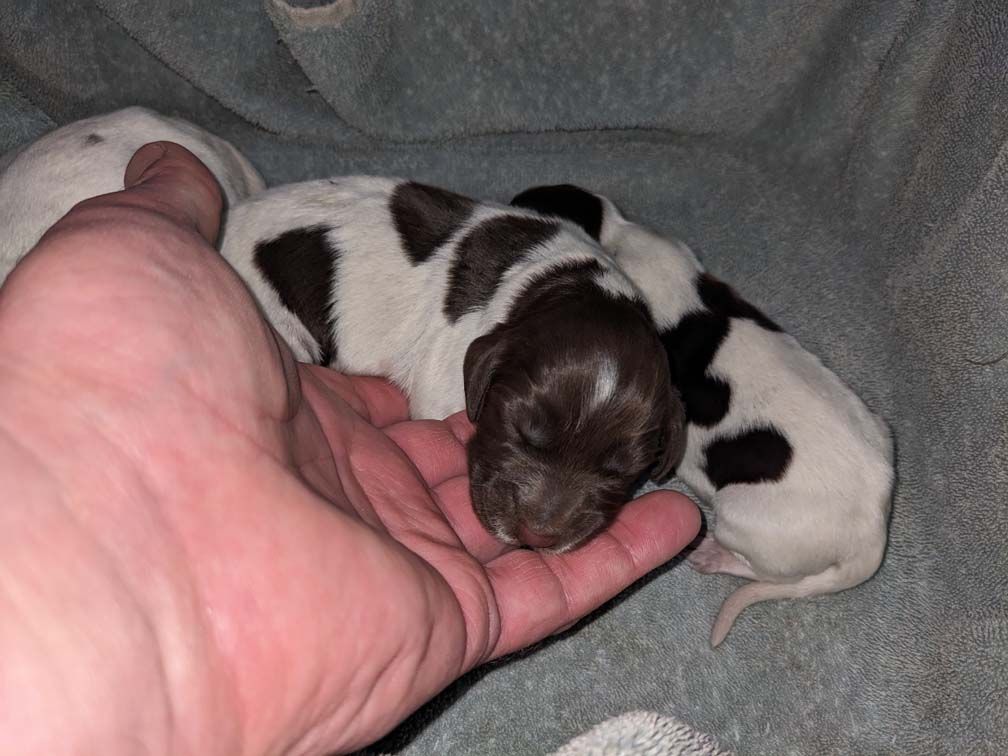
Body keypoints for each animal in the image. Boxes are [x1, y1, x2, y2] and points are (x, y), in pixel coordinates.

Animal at [511, 185, 894, 645]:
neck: (619, 236)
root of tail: (871, 533)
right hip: (880, 429)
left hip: (741, 519)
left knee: (762, 570)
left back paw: (715, 557)